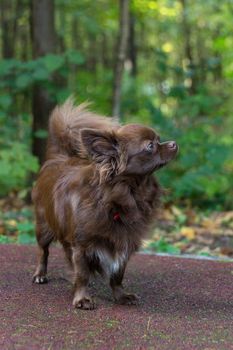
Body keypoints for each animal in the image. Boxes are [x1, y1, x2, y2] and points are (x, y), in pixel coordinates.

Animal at [31, 99, 178, 308]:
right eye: (150, 146)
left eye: (159, 139)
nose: (174, 143)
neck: (125, 197)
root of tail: (59, 158)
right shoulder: (81, 246)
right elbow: (82, 274)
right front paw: (82, 298)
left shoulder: (124, 243)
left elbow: (117, 275)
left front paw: (121, 296)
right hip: (43, 226)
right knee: (43, 251)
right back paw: (40, 275)